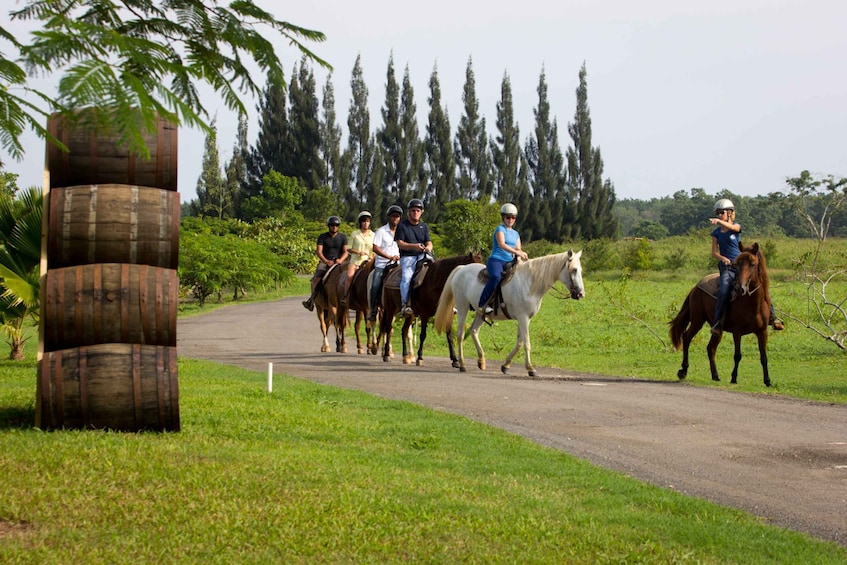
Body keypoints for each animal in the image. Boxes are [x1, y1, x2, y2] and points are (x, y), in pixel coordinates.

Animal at [434, 250, 588, 374]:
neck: (530, 282)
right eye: (574, 270)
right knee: (460, 335)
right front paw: (530, 368)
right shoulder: (523, 317)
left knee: (473, 331)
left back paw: (481, 361)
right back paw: (462, 364)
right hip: (462, 308)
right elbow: (526, 343)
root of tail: (461, 269)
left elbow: (519, 342)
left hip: (479, 312)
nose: (580, 294)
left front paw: (506, 365)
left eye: (580, 270)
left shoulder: (525, 319)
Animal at [668, 240, 776, 386]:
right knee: (686, 338)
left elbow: (764, 357)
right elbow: (737, 355)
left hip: (717, 329)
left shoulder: (762, 332)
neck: (753, 304)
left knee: (710, 348)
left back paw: (715, 375)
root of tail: (695, 287)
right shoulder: (737, 331)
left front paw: (768, 381)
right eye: (737, 264)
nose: (740, 288)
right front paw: (734, 378)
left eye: (753, 264)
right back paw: (683, 371)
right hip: (697, 320)